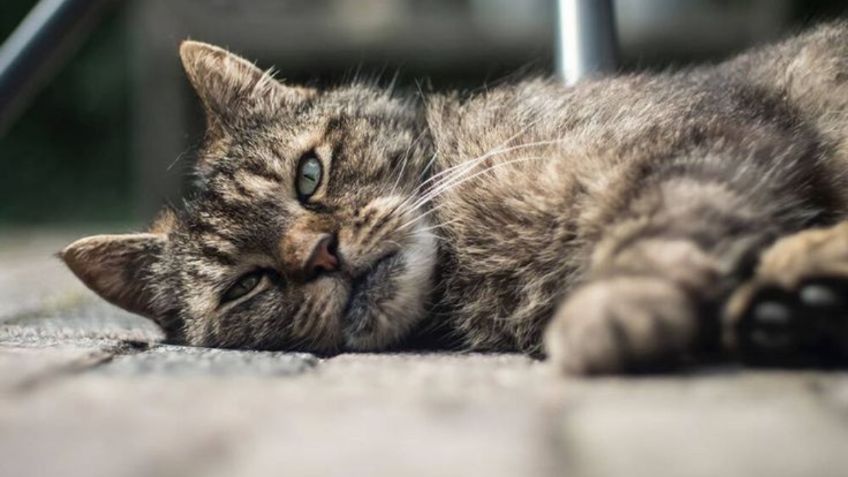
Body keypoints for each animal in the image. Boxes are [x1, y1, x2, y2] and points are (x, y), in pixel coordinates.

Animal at [63, 21, 848, 372]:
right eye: (245, 285)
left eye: (309, 176)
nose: (320, 254)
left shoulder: (706, 136)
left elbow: (658, 226)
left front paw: (614, 307)